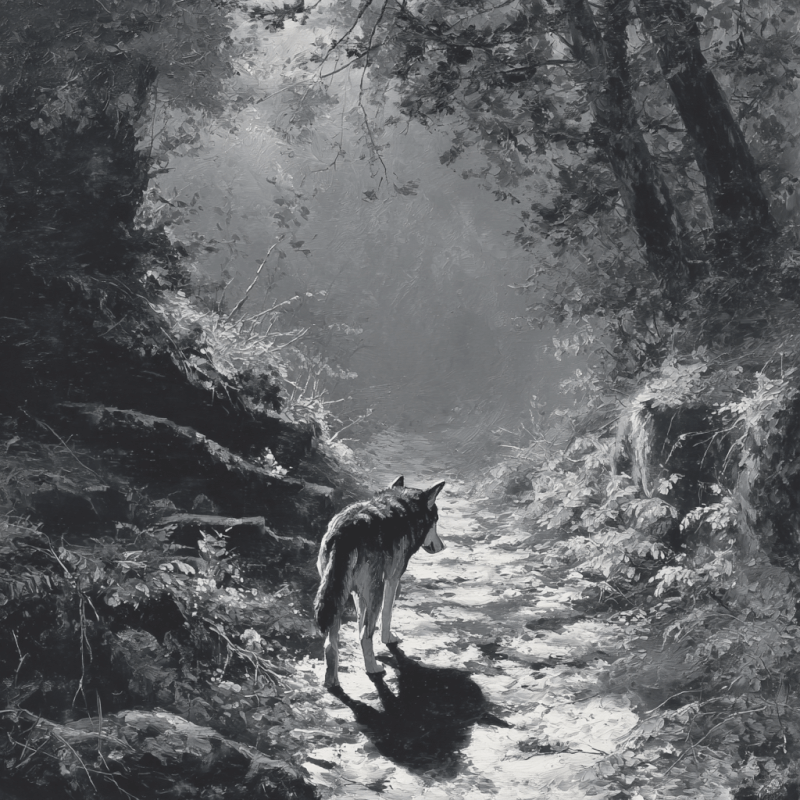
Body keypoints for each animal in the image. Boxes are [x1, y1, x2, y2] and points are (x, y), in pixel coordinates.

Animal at [314, 476, 446, 689]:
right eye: (436, 521)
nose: (442, 546)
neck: (405, 508)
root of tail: (344, 531)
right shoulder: (392, 579)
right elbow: (386, 614)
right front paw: (388, 639)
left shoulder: (358, 593)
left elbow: (361, 621)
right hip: (375, 592)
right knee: (364, 636)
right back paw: (373, 669)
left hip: (335, 600)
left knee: (330, 644)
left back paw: (332, 682)